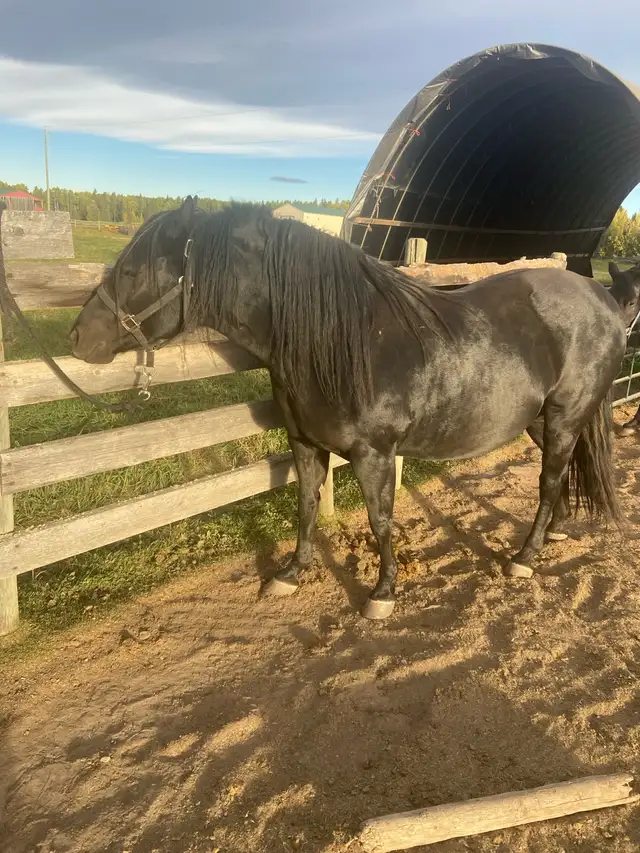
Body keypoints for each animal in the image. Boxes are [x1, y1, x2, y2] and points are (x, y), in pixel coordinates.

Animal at [70, 197, 627, 620]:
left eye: (132, 270)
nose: (78, 338)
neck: (341, 337)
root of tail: (601, 298)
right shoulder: (304, 443)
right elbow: (306, 507)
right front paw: (290, 574)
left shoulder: (373, 453)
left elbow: (381, 520)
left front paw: (382, 593)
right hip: (540, 420)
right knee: (558, 478)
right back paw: (549, 534)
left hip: (564, 417)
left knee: (549, 480)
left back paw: (524, 557)